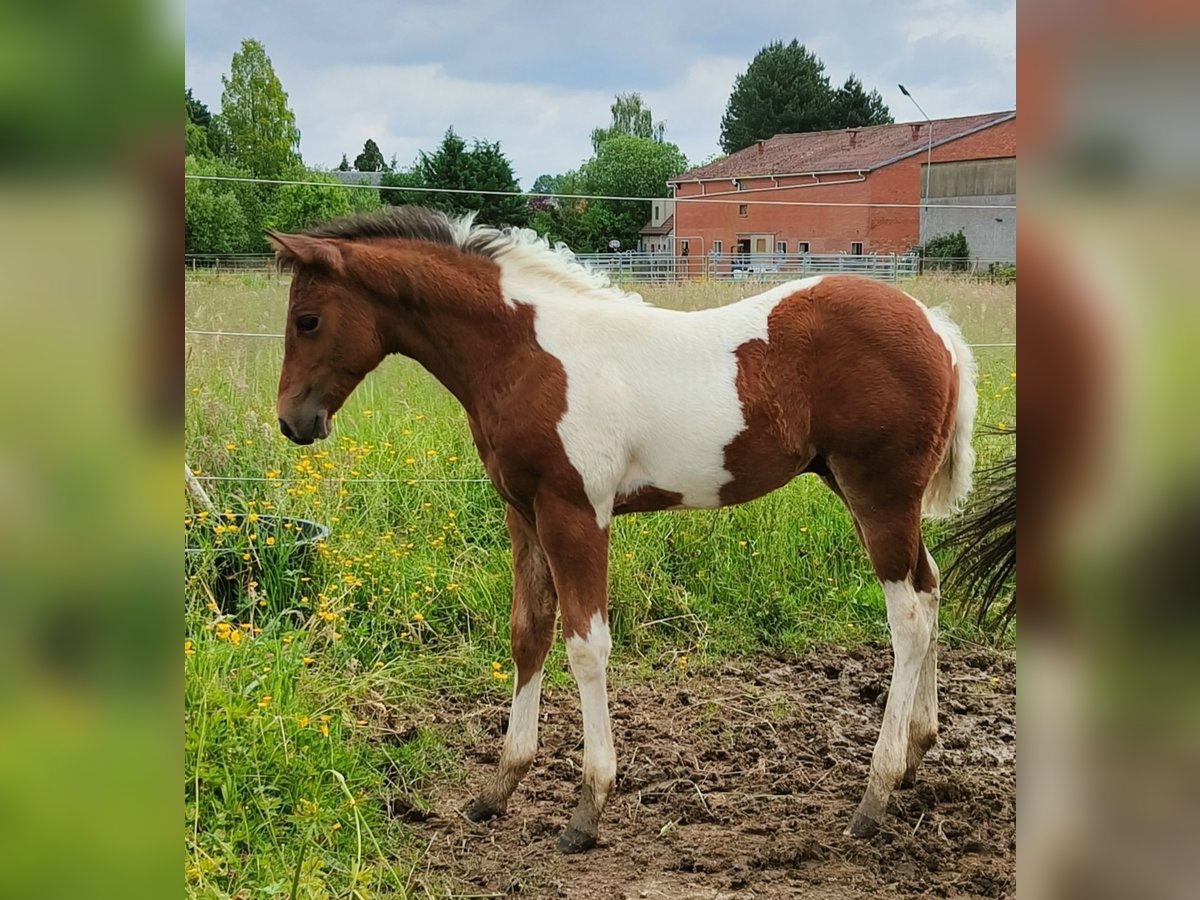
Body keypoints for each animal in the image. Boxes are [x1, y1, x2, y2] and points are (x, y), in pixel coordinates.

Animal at [270, 207, 974, 854]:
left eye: (307, 320)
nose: (292, 422)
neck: (527, 352)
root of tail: (935, 324)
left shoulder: (576, 511)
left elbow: (586, 646)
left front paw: (588, 808)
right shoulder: (523, 512)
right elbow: (528, 633)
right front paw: (499, 788)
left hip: (879, 493)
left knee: (909, 618)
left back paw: (874, 795)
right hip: (861, 492)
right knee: (932, 587)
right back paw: (917, 753)